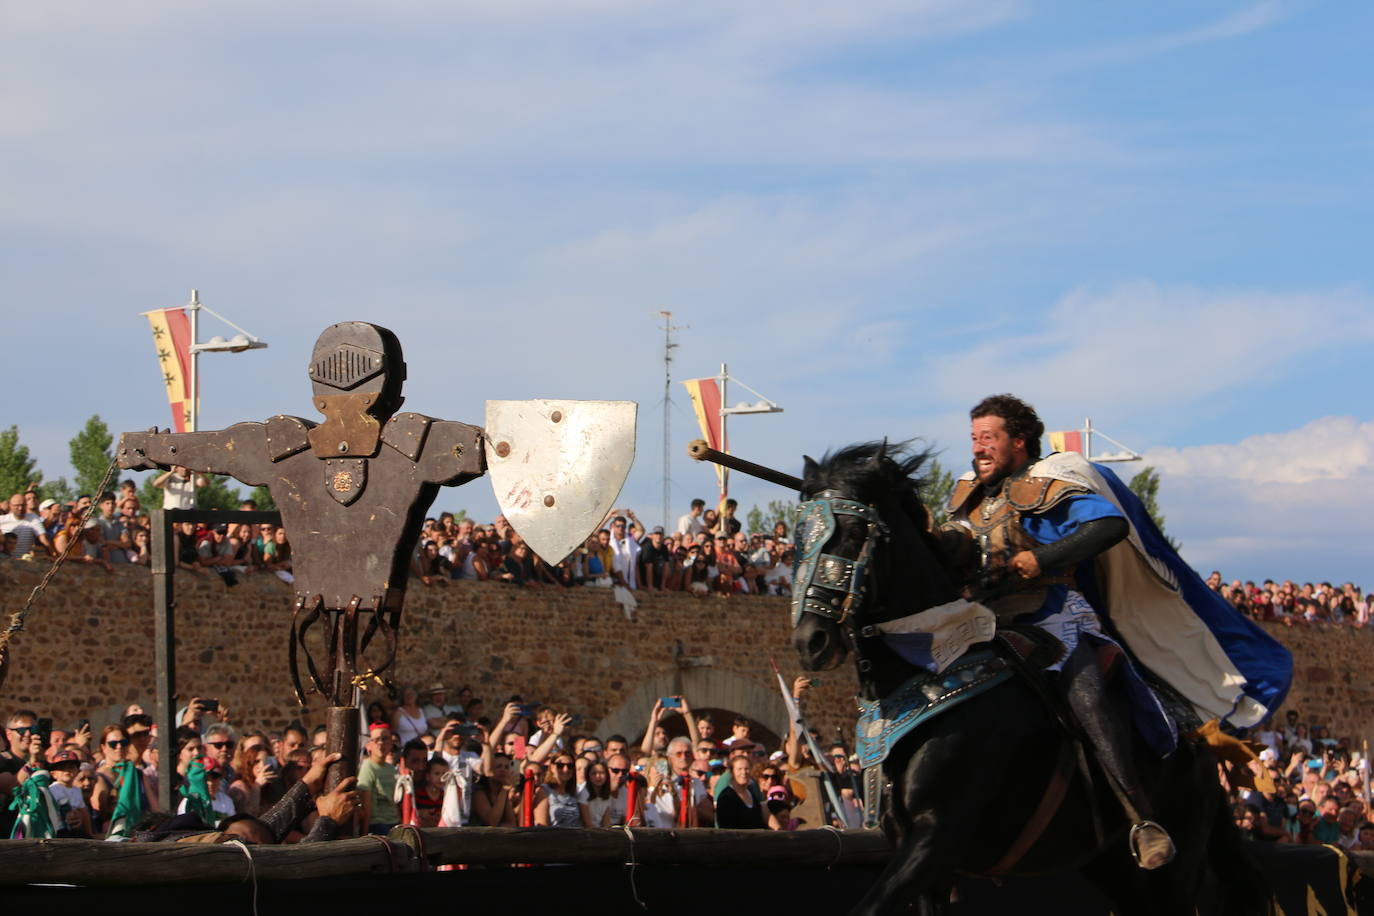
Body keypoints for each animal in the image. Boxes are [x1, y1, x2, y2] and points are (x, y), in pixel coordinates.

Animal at [791, 439, 1258, 911]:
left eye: (853, 532)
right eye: (799, 539)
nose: (812, 641)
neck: (935, 664)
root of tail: (1199, 739)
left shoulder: (935, 837)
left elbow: (1107, 524)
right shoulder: (917, 853)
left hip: (1176, 865)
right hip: (1110, 866)